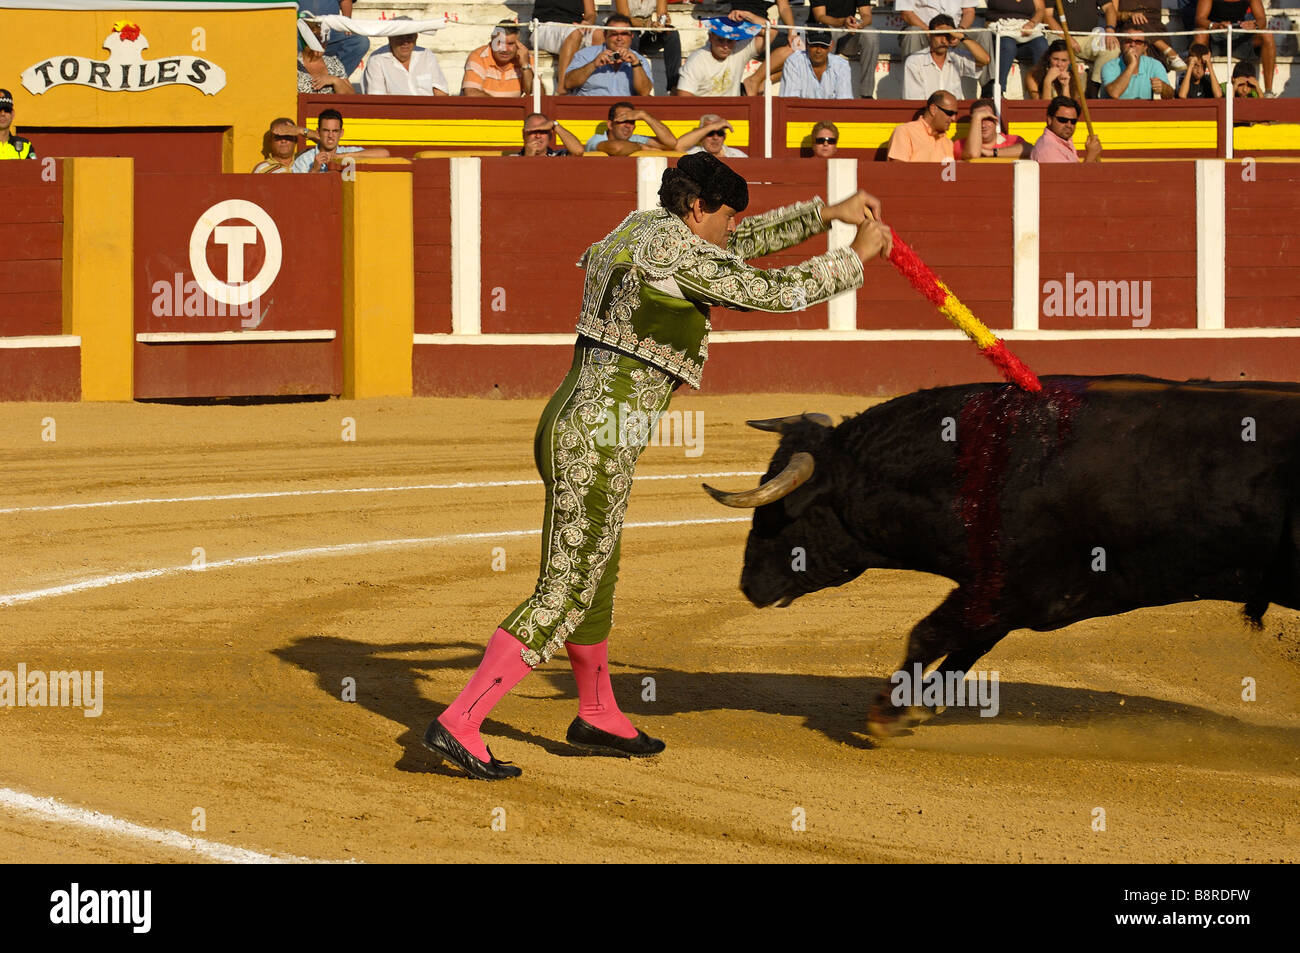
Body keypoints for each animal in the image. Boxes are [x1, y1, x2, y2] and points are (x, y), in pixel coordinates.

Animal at [707, 374, 1300, 738]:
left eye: (784, 511)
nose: (749, 584)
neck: (981, 466)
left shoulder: (1011, 587)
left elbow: (927, 635)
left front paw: (886, 715)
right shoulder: (1000, 594)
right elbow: (961, 649)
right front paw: (914, 710)